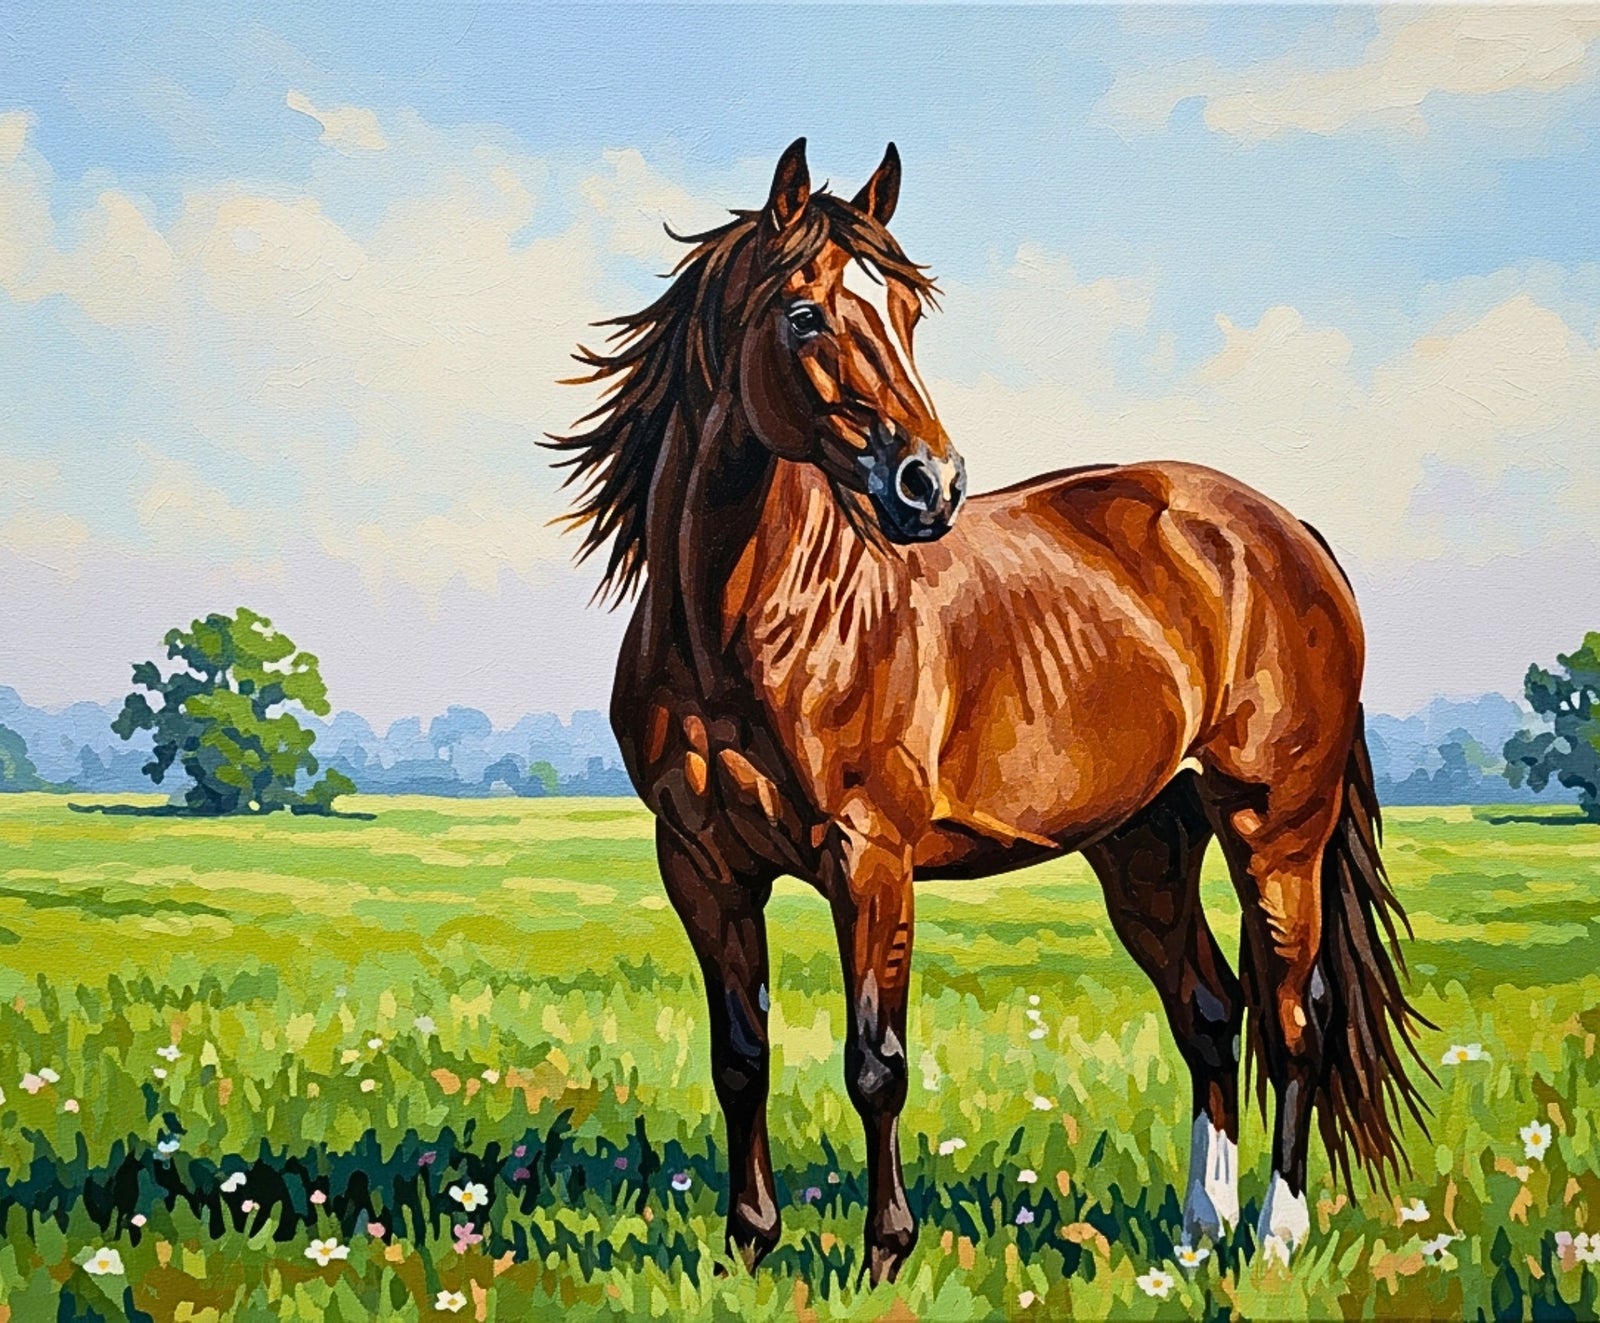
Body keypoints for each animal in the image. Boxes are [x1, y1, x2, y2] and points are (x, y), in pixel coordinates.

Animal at [550, 138, 1430, 1284]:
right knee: (1208, 1010)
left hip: (1274, 826)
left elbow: (875, 1062)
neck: (750, 625)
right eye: (805, 314)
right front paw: (748, 1244)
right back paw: (1198, 1234)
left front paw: (884, 1255)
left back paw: (1275, 1236)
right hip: (1145, 843)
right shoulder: (702, 866)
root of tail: (1287, 534)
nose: (929, 484)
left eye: (909, 314)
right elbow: (740, 1057)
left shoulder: (871, 860)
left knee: (1293, 1018)